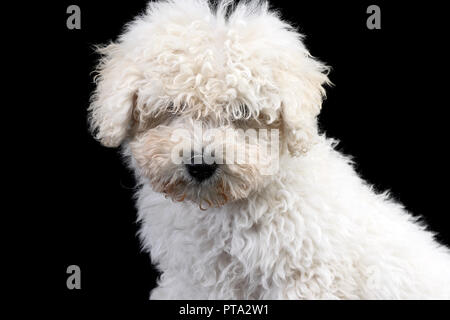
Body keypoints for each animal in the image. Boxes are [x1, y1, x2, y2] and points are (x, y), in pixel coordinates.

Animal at [89, 0, 450, 300]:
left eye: (242, 113)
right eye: (172, 108)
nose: (201, 164)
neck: (225, 209)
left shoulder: (306, 281)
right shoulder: (189, 279)